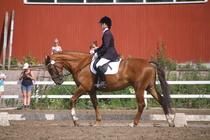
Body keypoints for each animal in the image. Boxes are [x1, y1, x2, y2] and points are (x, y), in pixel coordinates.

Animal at [44, 51, 174, 127]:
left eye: (50, 68)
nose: (58, 82)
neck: (80, 64)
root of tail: (147, 62)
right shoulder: (91, 90)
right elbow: (95, 104)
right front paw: (97, 121)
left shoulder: (84, 87)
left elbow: (71, 100)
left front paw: (75, 120)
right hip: (150, 87)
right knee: (162, 100)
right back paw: (170, 121)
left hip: (139, 88)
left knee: (142, 104)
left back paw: (133, 123)